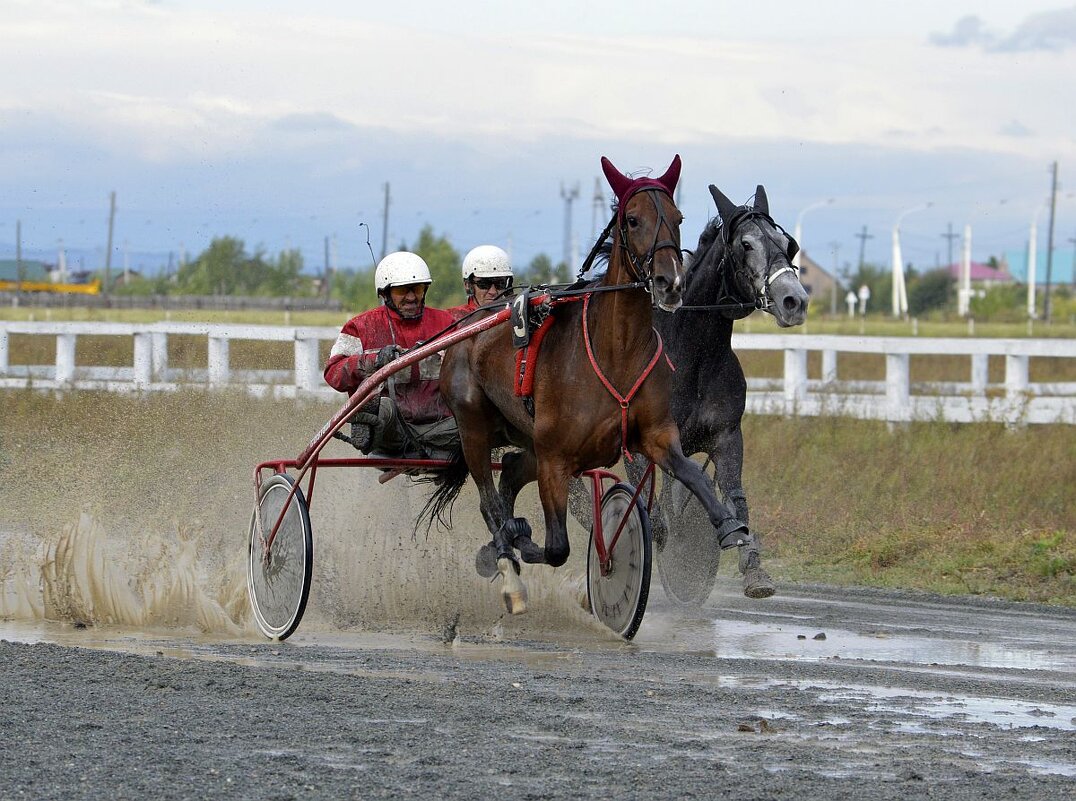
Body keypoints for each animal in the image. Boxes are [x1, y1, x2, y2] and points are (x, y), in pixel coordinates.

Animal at [428, 158, 766, 620]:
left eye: (678, 218)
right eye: (632, 219)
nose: (669, 283)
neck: (616, 351)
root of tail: (468, 325)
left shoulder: (657, 436)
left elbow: (695, 477)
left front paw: (731, 529)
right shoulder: (557, 458)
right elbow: (556, 547)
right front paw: (523, 543)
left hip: (526, 437)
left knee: (511, 470)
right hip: (476, 428)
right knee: (488, 499)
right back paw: (506, 562)